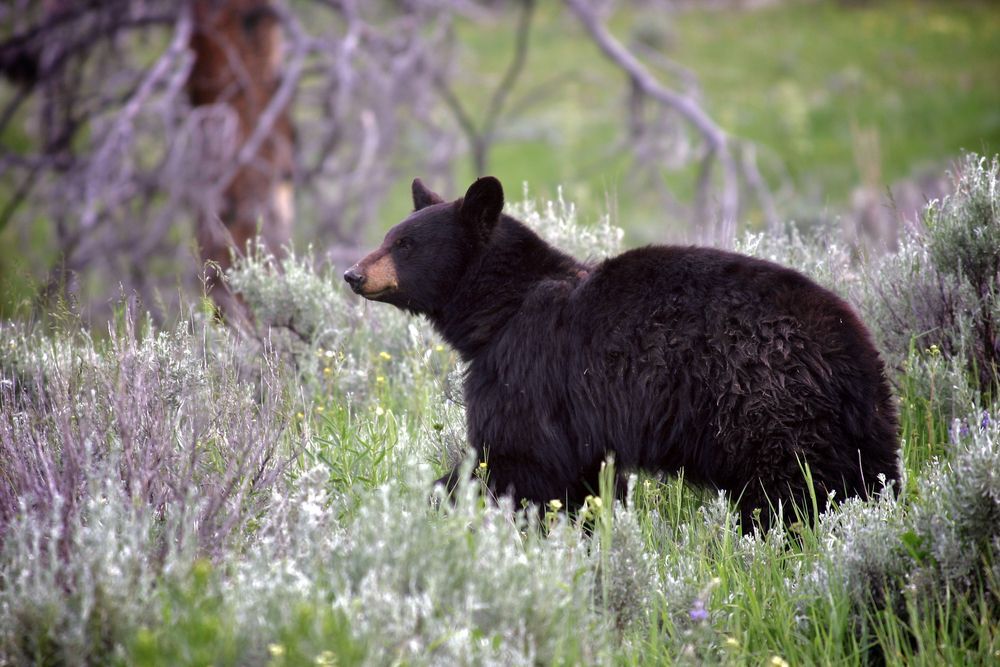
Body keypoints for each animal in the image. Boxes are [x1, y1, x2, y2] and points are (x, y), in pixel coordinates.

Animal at [344, 176, 900, 529]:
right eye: (390, 236)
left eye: (406, 244)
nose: (352, 273)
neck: (502, 308)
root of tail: (851, 348)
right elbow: (579, 479)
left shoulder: (528, 368)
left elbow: (516, 458)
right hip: (857, 424)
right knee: (864, 477)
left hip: (765, 405)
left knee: (788, 491)